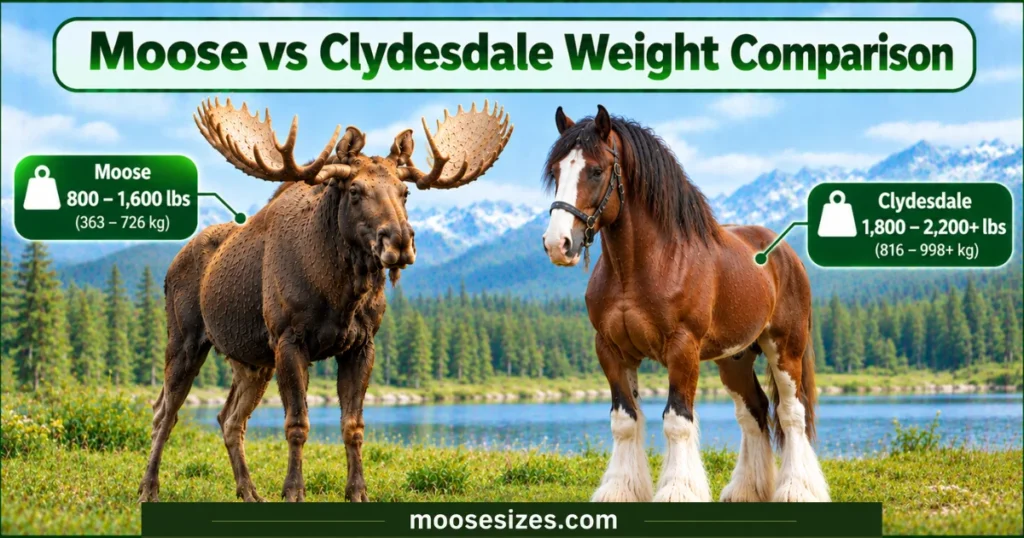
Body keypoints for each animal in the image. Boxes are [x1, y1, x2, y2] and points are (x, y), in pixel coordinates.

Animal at [138, 98, 512, 503]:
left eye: (405, 192)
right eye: (355, 191)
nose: (399, 240)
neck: (340, 294)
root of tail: (170, 267)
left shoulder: (362, 344)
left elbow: (353, 425)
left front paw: (358, 491)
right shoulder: (288, 339)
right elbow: (297, 424)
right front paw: (293, 491)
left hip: (251, 361)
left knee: (229, 419)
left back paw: (249, 491)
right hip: (185, 339)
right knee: (165, 412)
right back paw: (148, 488)